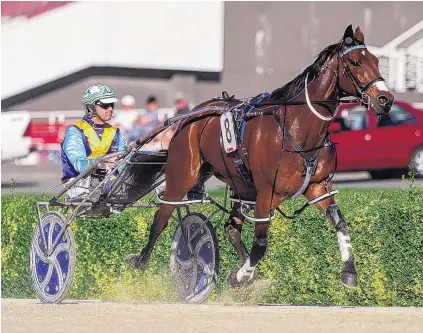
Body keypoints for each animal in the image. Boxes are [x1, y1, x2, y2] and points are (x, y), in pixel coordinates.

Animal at [126, 24, 394, 288]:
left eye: (376, 61)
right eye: (356, 62)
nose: (386, 99)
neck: (297, 128)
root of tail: (192, 114)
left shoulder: (318, 188)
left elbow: (340, 222)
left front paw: (349, 272)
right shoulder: (267, 193)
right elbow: (261, 244)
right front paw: (242, 274)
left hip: (241, 185)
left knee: (231, 228)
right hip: (182, 175)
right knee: (161, 217)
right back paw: (142, 260)